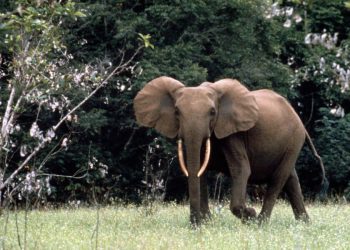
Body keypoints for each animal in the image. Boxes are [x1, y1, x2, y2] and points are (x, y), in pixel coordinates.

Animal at [133, 75, 326, 225]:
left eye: (212, 112)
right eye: (177, 112)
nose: (194, 224)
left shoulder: (233, 133)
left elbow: (241, 169)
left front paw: (249, 215)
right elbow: (198, 169)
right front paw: (206, 223)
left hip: (294, 139)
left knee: (279, 178)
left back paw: (260, 223)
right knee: (291, 179)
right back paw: (304, 224)